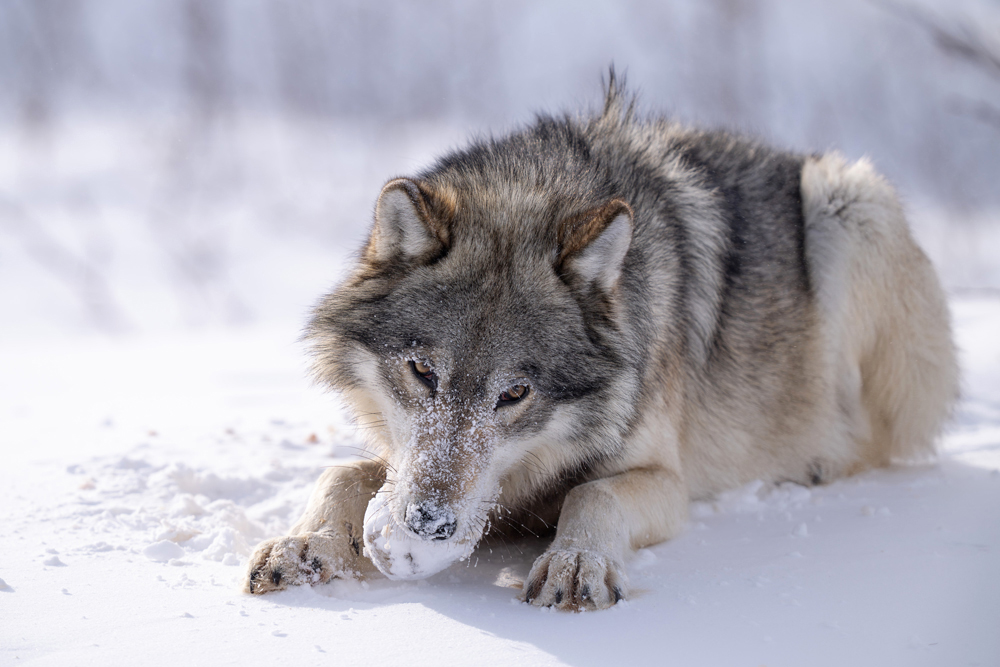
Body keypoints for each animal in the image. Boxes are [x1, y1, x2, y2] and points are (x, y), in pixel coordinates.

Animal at [244, 73, 958, 610]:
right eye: (423, 371)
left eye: (515, 394)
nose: (428, 524)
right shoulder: (403, 455)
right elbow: (342, 471)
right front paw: (305, 546)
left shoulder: (665, 480)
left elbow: (594, 493)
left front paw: (574, 562)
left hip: (850, 204)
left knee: (870, 442)